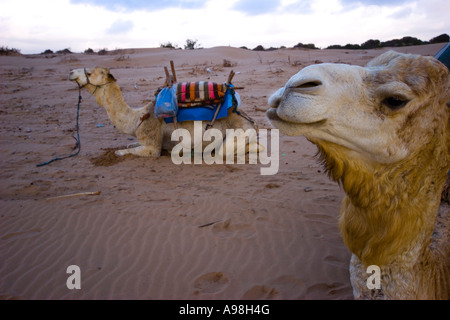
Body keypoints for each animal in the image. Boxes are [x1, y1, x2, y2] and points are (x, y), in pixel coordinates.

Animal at [69, 67, 260, 158]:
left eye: (89, 73)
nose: (70, 72)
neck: (138, 118)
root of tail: (251, 121)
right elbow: (130, 145)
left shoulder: (152, 144)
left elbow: (125, 151)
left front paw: (118, 153)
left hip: (239, 132)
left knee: (231, 149)